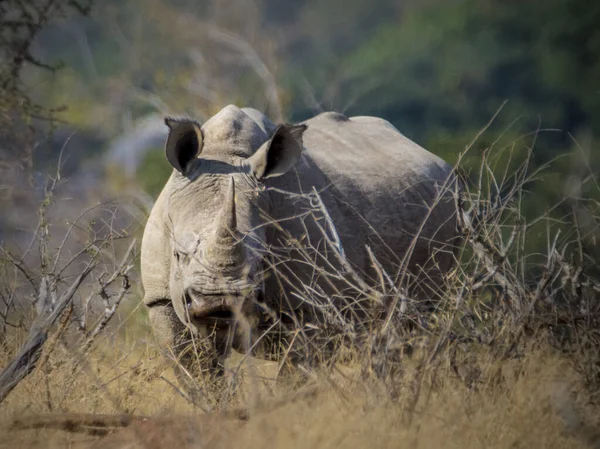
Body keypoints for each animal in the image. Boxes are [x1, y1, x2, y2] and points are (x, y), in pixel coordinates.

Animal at [141, 104, 460, 374]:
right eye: (178, 255)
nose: (220, 303)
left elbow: (297, 368)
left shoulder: (309, 303)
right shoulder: (161, 298)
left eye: (263, 259)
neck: (225, 155)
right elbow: (196, 372)